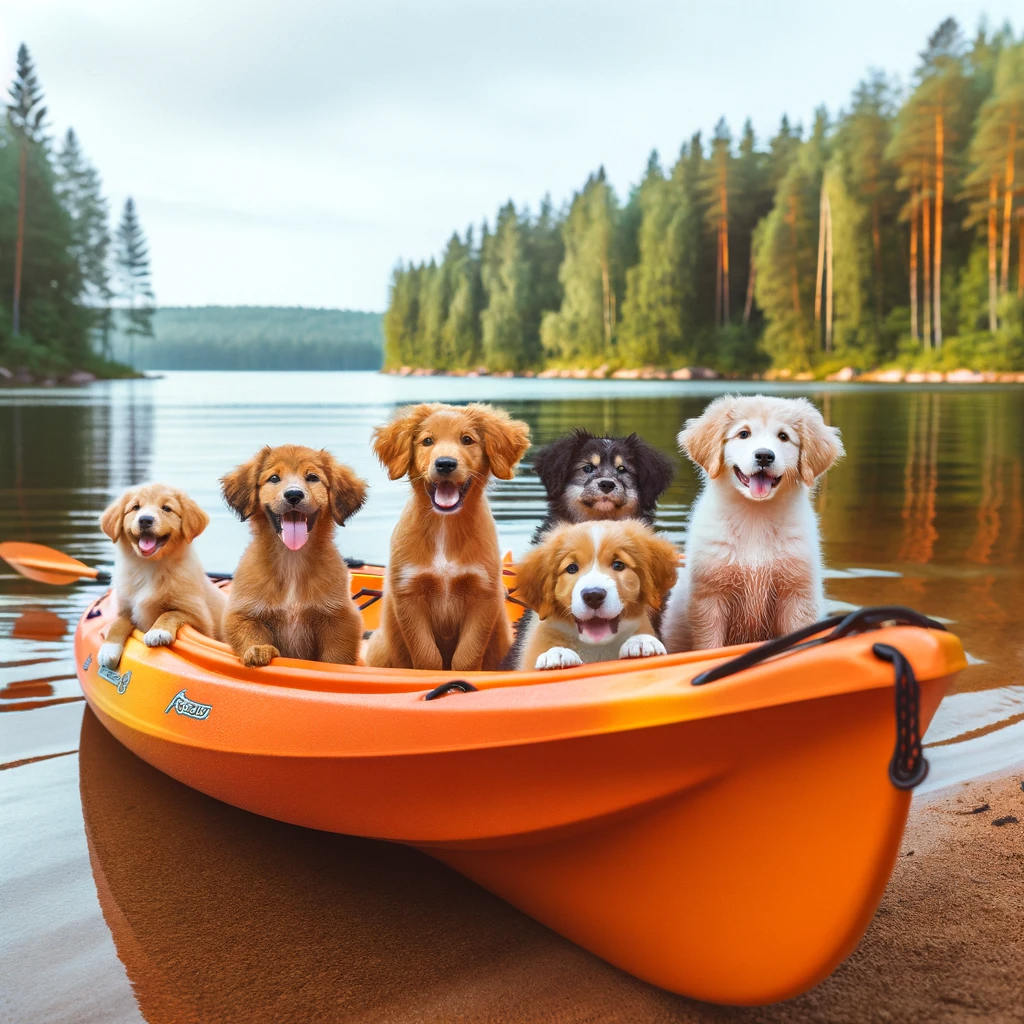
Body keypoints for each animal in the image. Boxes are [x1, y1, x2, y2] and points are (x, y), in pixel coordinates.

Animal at [96, 485, 225, 671]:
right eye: (135, 507)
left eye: (166, 508)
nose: (145, 520)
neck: (149, 567)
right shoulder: (126, 607)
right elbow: (117, 623)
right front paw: (108, 648)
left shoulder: (200, 618)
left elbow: (170, 613)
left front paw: (158, 632)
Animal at [220, 444, 368, 667]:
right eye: (274, 478)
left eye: (313, 477)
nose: (293, 495)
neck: (292, 559)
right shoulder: (244, 612)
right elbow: (251, 633)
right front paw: (259, 650)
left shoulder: (340, 618)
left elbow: (335, 657)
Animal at [366, 399, 528, 671]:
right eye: (427, 441)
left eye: (467, 439)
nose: (445, 463)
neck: (445, 526)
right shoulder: (408, 595)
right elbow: (427, 656)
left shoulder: (483, 595)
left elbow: (466, 657)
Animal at [512, 520, 679, 671]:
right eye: (572, 568)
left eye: (618, 565)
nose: (593, 596)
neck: (596, 648)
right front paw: (557, 653)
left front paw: (641, 641)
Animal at [659, 395, 843, 651]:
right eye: (743, 434)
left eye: (783, 436)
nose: (764, 455)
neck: (756, 516)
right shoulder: (710, 598)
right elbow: (709, 645)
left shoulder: (797, 595)